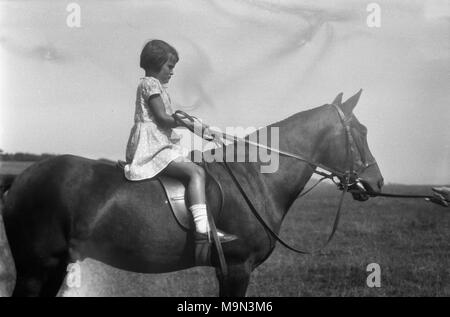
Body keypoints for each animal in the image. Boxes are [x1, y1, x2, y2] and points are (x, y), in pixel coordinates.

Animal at [0, 89, 384, 296]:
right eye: (362, 131)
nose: (378, 182)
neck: (254, 179)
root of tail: (19, 179)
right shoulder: (238, 268)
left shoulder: (227, 271)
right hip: (36, 268)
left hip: (54, 266)